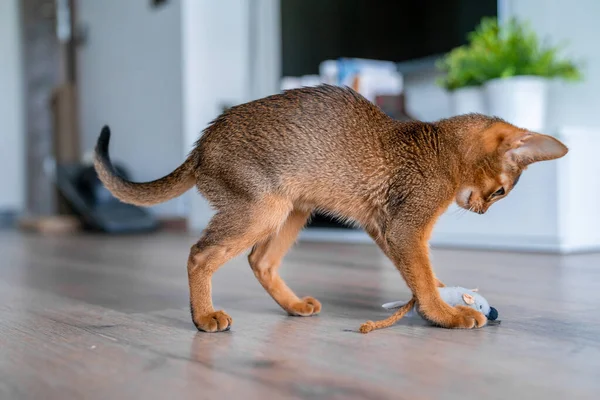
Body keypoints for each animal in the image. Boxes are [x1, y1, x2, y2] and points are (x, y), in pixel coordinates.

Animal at [92, 84, 568, 332]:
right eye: (502, 192)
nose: (484, 212)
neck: (440, 145)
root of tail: (202, 144)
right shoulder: (405, 228)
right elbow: (423, 276)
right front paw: (446, 314)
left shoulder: (384, 228)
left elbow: (423, 276)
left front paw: (439, 299)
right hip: (262, 208)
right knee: (200, 254)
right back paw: (205, 316)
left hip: (292, 209)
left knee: (260, 260)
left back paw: (293, 306)